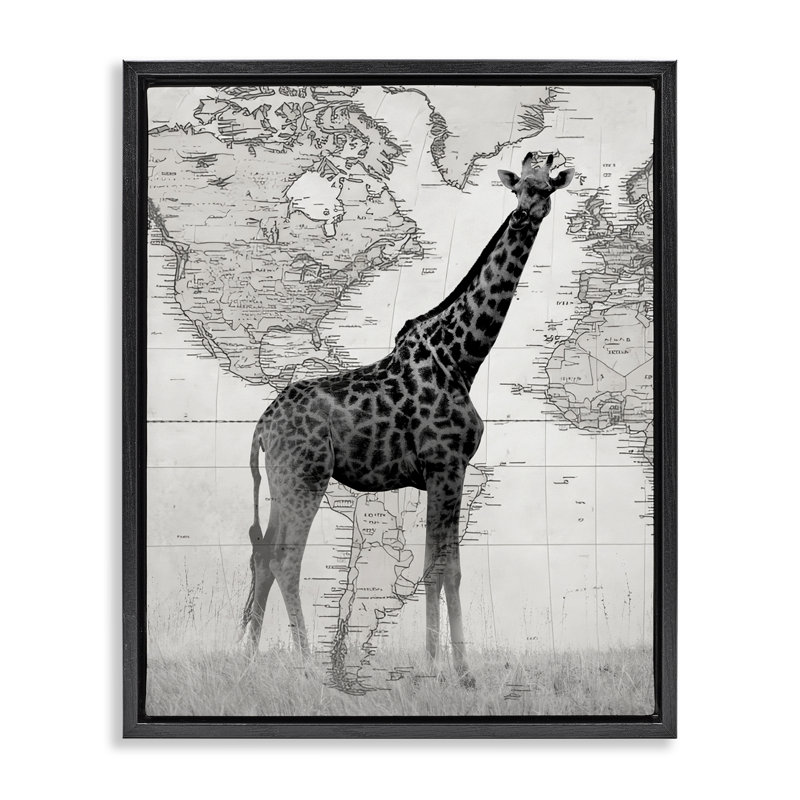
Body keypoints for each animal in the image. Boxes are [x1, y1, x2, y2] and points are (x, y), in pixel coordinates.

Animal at [239, 152, 574, 688]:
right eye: (519, 185)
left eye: (547, 187)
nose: (527, 212)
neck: (463, 356)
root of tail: (261, 428)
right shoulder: (446, 464)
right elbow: (443, 568)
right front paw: (455, 671)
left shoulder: (445, 470)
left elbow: (440, 566)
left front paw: (442, 665)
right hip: (305, 477)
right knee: (287, 560)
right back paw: (309, 666)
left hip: (281, 480)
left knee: (264, 555)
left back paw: (249, 659)